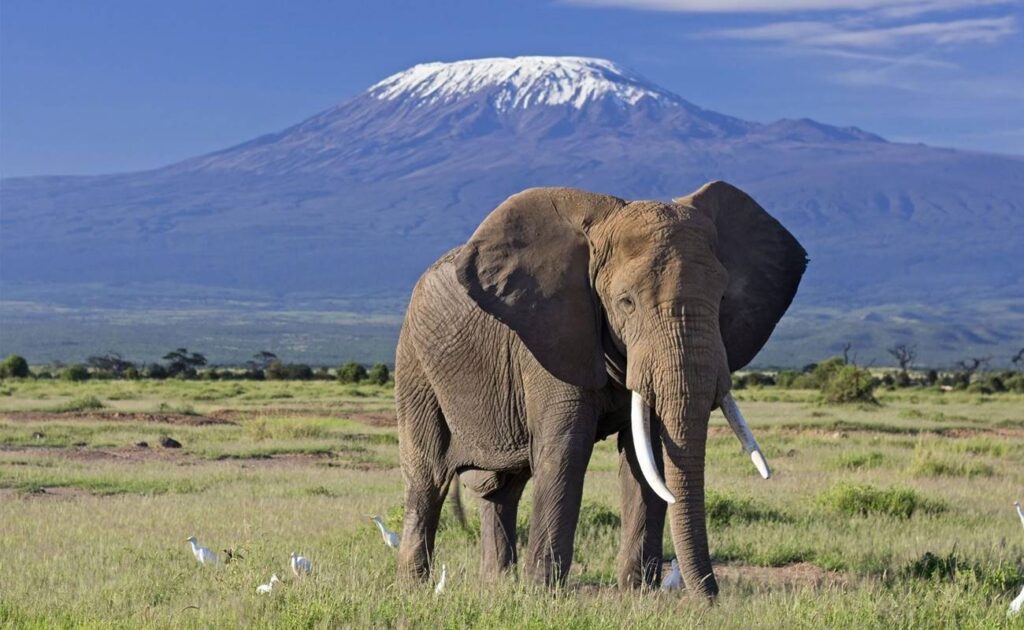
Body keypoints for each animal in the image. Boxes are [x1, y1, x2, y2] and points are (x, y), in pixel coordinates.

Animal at [394, 181, 807, 598]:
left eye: (722, 299)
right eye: (626, 302)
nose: (711, 600)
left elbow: (646, 455)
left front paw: (638, 595)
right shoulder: (552, 337)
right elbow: (566, 450)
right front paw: (544, 595)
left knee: (503, 488)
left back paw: (498, 585)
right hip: (414, 364)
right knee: (428, 477)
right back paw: (415, 588)